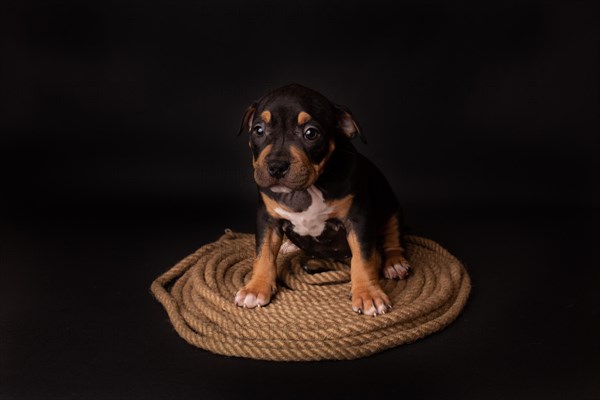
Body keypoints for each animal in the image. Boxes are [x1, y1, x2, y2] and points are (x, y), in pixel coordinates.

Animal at [233, 83, 408, 316]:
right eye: (258, 130)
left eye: (311, 133)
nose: (276, 166)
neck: (308, 189)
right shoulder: (267, 218)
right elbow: (263, 254)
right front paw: (256, 288)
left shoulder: (358, 219)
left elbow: (363, 258)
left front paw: (368, 295)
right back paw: (289, 245)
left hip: (392, 208)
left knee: (392, 238)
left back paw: (394, 263)